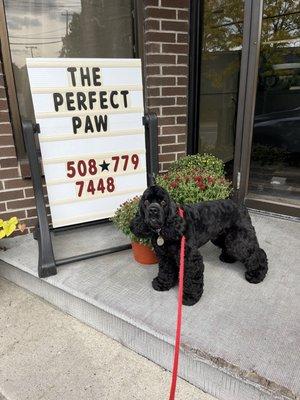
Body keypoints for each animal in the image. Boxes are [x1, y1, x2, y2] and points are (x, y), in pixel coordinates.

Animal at [129, 186, 268, 304]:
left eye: (163, 202)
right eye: (146, 202)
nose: (153, 210)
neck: (166, 228)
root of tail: (242, 206)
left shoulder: (190, 257)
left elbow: (191, 278)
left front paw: (190, 297)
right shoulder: (165, 256)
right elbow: (165, 270)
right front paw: (162, 283)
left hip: (238, 241)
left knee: (257, 252)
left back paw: (256, 275)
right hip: (221, 236)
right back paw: (227, 258)